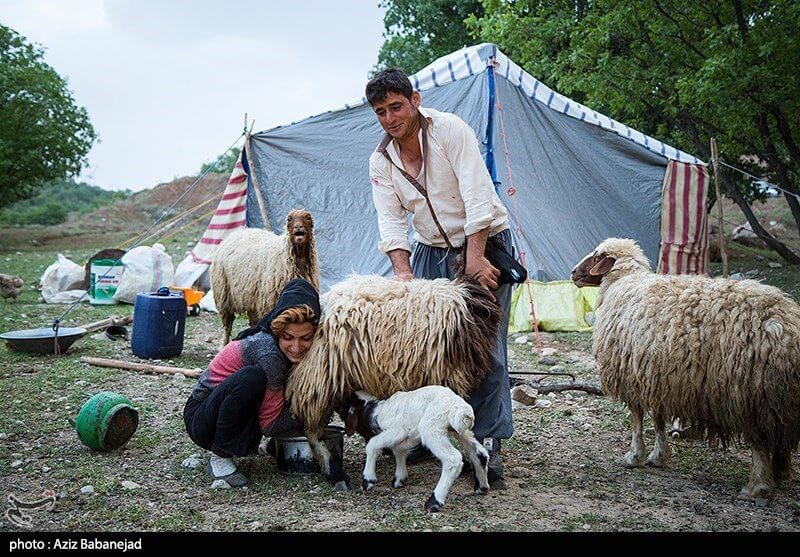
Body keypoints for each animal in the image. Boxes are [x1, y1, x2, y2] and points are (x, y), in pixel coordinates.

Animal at [212, 211, 318, 346]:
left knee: (251, 322)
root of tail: (235, 233)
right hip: (223, 295)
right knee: (227, 325)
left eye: (308, 218)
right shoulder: (270, 303)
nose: (298, 227)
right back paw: (224, 344)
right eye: (289, 219)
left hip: (251, 298)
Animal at [340, 386, 490, 512]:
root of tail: (464, 412)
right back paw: (481, 487)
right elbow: (399, 451)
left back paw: (434, 501)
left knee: (453, 460)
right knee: (479, 453)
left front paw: (368, 480)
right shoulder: (407, 437)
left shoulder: (397, 431)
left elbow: (372, 445)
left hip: (432, 429)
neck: (375, 410)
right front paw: (399, 478)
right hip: (461, 432)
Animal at [568, 237, 800, 498]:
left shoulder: (631, 376)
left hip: (751, 394)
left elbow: (637, 419)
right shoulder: (656, 376)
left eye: (598, 256)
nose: (573, 273)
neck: (623, 282)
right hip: (779, 396)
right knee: (781, 437)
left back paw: (756, 486)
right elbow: (658, 419)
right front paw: (658, 456)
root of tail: (787, 326)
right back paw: (780, 473)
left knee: (760, 442)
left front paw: (634, 456)